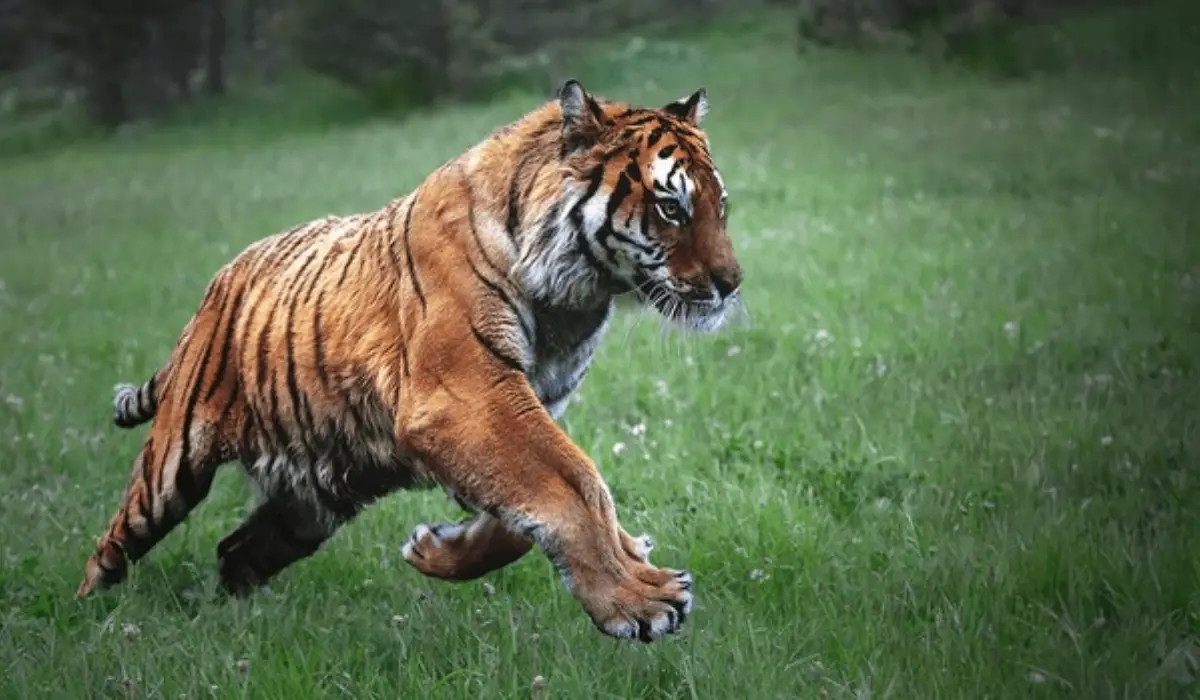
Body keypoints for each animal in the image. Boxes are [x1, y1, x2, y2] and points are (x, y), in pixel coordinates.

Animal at [76, 79, 743, 644]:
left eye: (722, 207)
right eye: (673, 208)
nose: (732, 284)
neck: (574, 298)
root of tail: (219, 283)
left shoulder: (525, 404)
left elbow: (527, 508)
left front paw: (436, 549)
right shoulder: (464, 397)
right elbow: (575, 483)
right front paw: (641, 601)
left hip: (309, 502)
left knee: (235, 550)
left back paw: (245, 622)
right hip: (173, 469)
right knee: (113, 545)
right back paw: (89, 620)